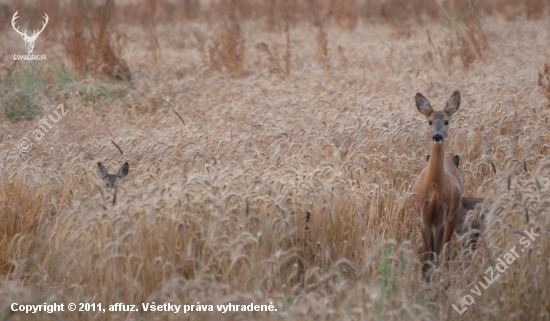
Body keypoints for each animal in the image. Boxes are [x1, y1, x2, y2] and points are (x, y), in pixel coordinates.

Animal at [414, 90, 466, 280]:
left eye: (446, 121)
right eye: (429, 121)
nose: (437, 136)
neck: (434, 187)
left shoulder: (443, 215)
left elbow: (436, 250)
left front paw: (433, 276)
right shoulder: (424, 216)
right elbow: (426, 252)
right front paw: (424, 277)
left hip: (453, 214)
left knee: (446, 247)